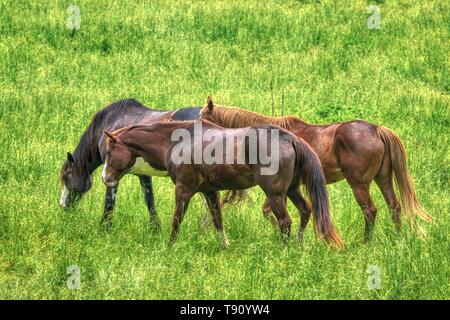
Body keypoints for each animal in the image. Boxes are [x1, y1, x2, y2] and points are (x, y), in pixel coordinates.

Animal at [59, 99, 204, 229]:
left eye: (66, 177)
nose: (63, 205)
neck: (109, 122)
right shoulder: (143, 174)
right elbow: (149, 199)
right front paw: (155, 229)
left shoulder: (112, 176)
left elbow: (109, 202)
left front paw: (104, 229)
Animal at [101, 120, 342, 248]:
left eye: (110, 152)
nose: (106, 178)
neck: (179, 142)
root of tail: (290, 138)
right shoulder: (210, 192)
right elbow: (217, 219)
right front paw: (224, 246)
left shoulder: (183, 190)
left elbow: (176, 220)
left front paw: (170, 247)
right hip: (291, 190)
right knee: (305, 210)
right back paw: (299, 246)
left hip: (275, 194)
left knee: (285, 221)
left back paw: (284, 249)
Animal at [200, 96, 432, 241]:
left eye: (204, 117)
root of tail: (377, 130)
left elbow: (269, 212)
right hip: (383, 179)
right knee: (394, 207)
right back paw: (398, 239)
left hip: (359, 184)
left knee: (370, 211)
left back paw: (367, 242)